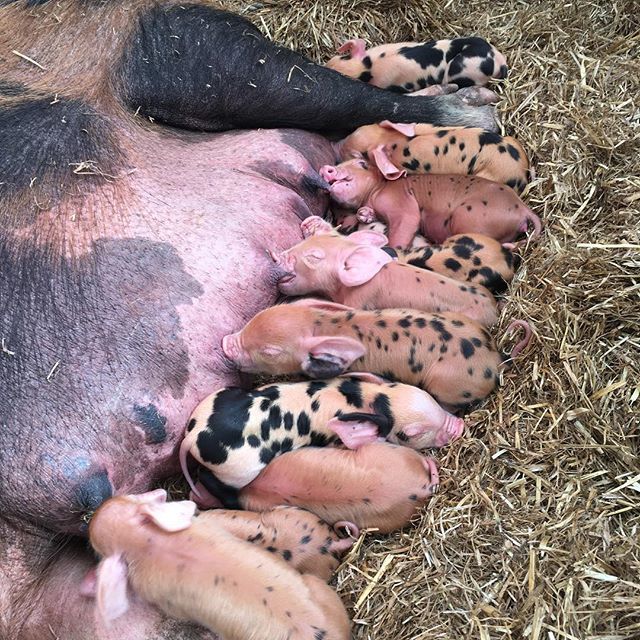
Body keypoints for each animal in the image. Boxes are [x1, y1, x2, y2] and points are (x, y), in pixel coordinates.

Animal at [180, 374, 465, 493]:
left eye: (429, 397)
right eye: (411, 433)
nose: (460, 426)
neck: (367, 399)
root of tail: (192, 437)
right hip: (240, 470)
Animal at [222, 299, 532, 412]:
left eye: (270, 351)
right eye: (257, 316)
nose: (225, 343)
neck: (325, 325)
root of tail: (496, 361)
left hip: (446, 384)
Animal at [320, 148, 542, 247]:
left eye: (362, 164)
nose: (325, 168)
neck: (378, 189)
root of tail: (521, 208)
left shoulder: (402, 203)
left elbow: (406, 224)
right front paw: (364, 214)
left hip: (469, 218)